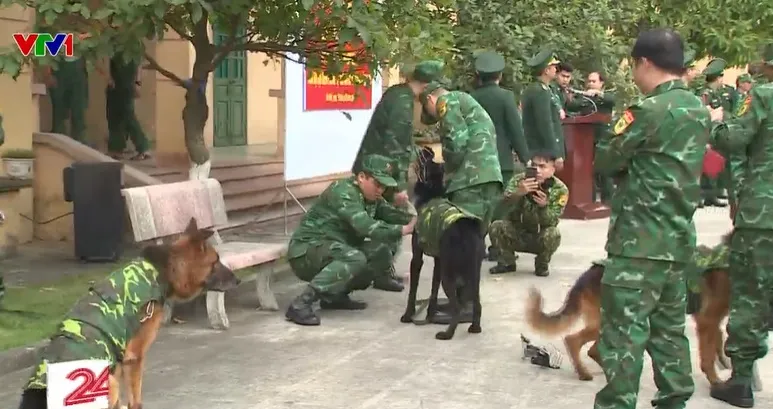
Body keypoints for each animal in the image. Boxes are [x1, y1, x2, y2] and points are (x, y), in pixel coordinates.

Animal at [18, 217, 241, 408]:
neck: (161, 270)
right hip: (109, 381)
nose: (238, 280)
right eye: (216, 262)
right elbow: (136, 399)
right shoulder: (134, 358)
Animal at [398, 145, 482, 340]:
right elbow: (433, 292)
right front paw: (430, 315)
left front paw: (408, 315)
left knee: (457, 307)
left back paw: (447, 334)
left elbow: (413, 290)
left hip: (450, 274)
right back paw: (475, 328)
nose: (426, 148)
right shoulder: (439, 260)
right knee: (477, 303)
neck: (432, 191)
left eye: (424, 161)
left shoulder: (417, 257)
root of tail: (465, 230)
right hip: (473, 271)